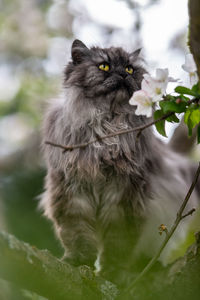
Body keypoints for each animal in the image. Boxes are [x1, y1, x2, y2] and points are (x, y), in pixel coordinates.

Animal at [40, 39, 198, 282]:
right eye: (104, 66)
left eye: (130, 69)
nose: (122, 74)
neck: (107, 127)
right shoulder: (71, 193)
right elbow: (78, 236)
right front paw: (78, 260)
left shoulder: (123, 197)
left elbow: (118, 244)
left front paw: (113, 273)